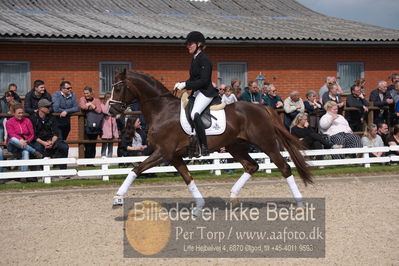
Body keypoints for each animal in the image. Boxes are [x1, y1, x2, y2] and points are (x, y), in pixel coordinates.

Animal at [109, 69, 312, 213]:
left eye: (118, 88)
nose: (111, 111)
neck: (162, 110)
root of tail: (262, 108)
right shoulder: (173, 156)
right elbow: (188, 178)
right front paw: (200, 205)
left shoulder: (163, 152)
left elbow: (136, 169)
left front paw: (118, 197)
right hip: (235, 146)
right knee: (252, 166)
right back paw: (233, 197)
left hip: (266, 144)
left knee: (284, 168)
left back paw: (300, 204)